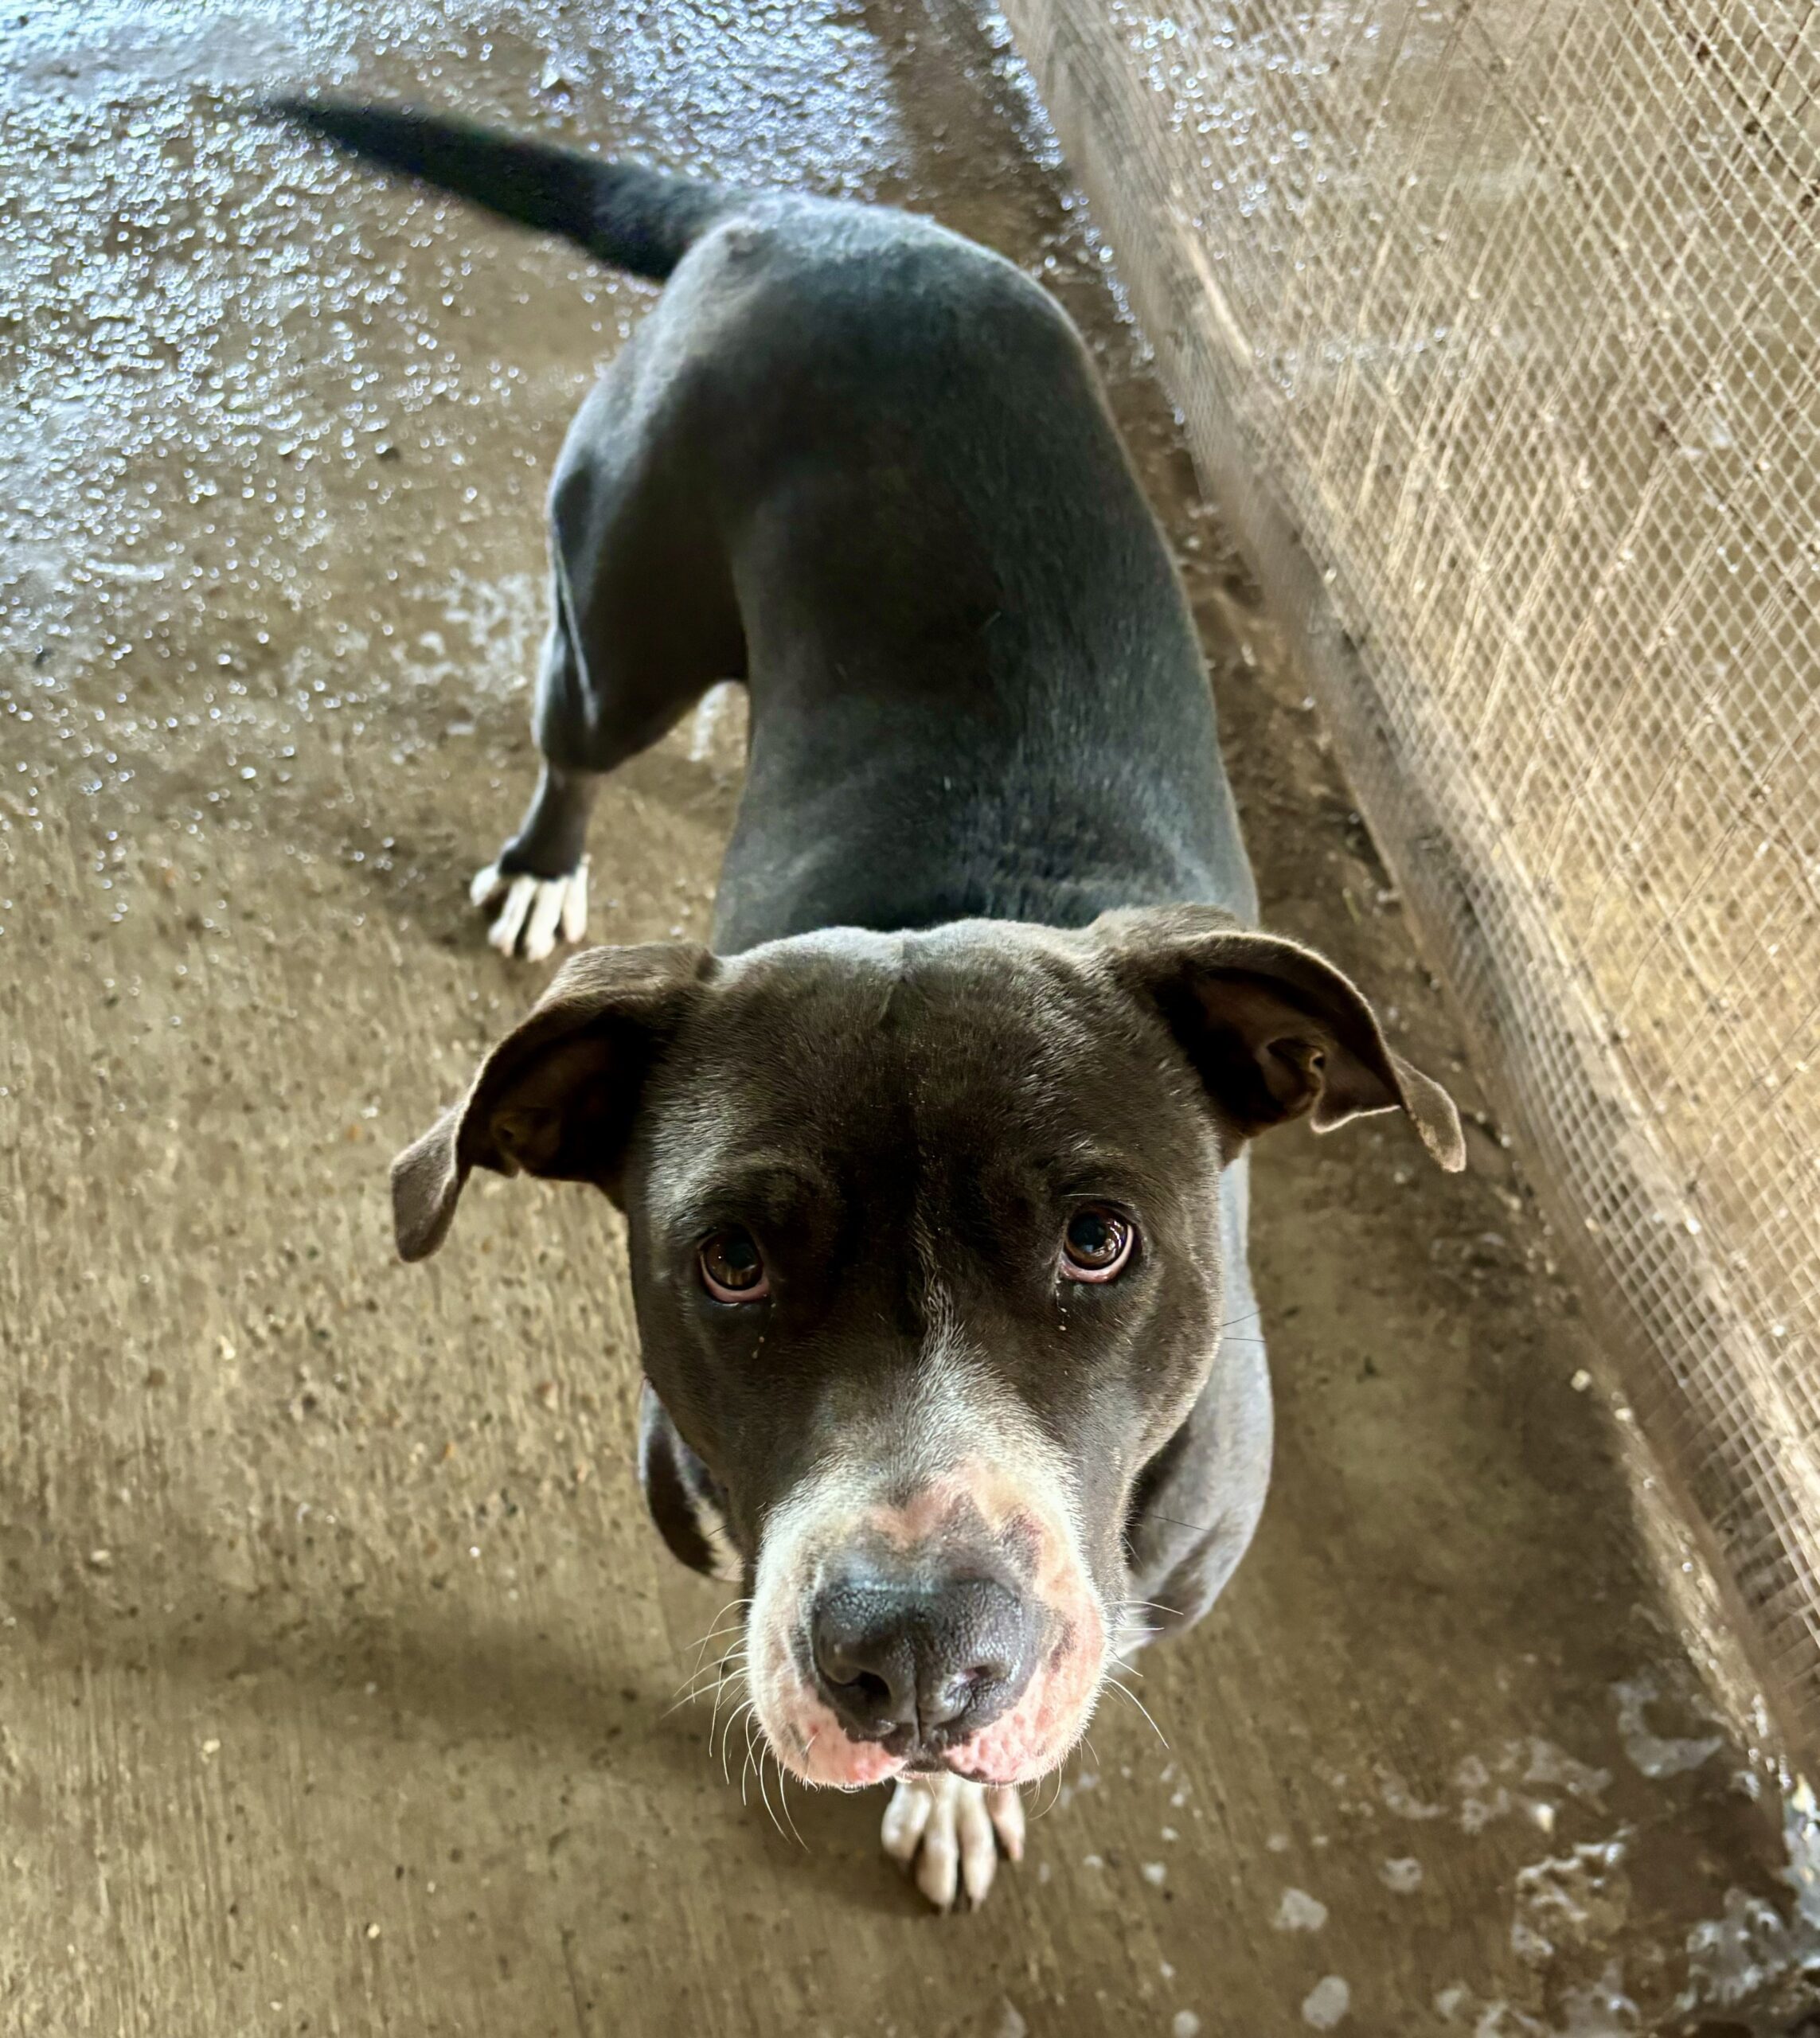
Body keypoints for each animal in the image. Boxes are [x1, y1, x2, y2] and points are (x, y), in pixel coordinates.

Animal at [276, 102, 1464, 1910]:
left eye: (1100, 1239)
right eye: (731, 1260)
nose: (914, 1656)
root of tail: (797, 215)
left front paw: (956, 1790)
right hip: (620, 620)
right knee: (574, 723)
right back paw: (548, 864)